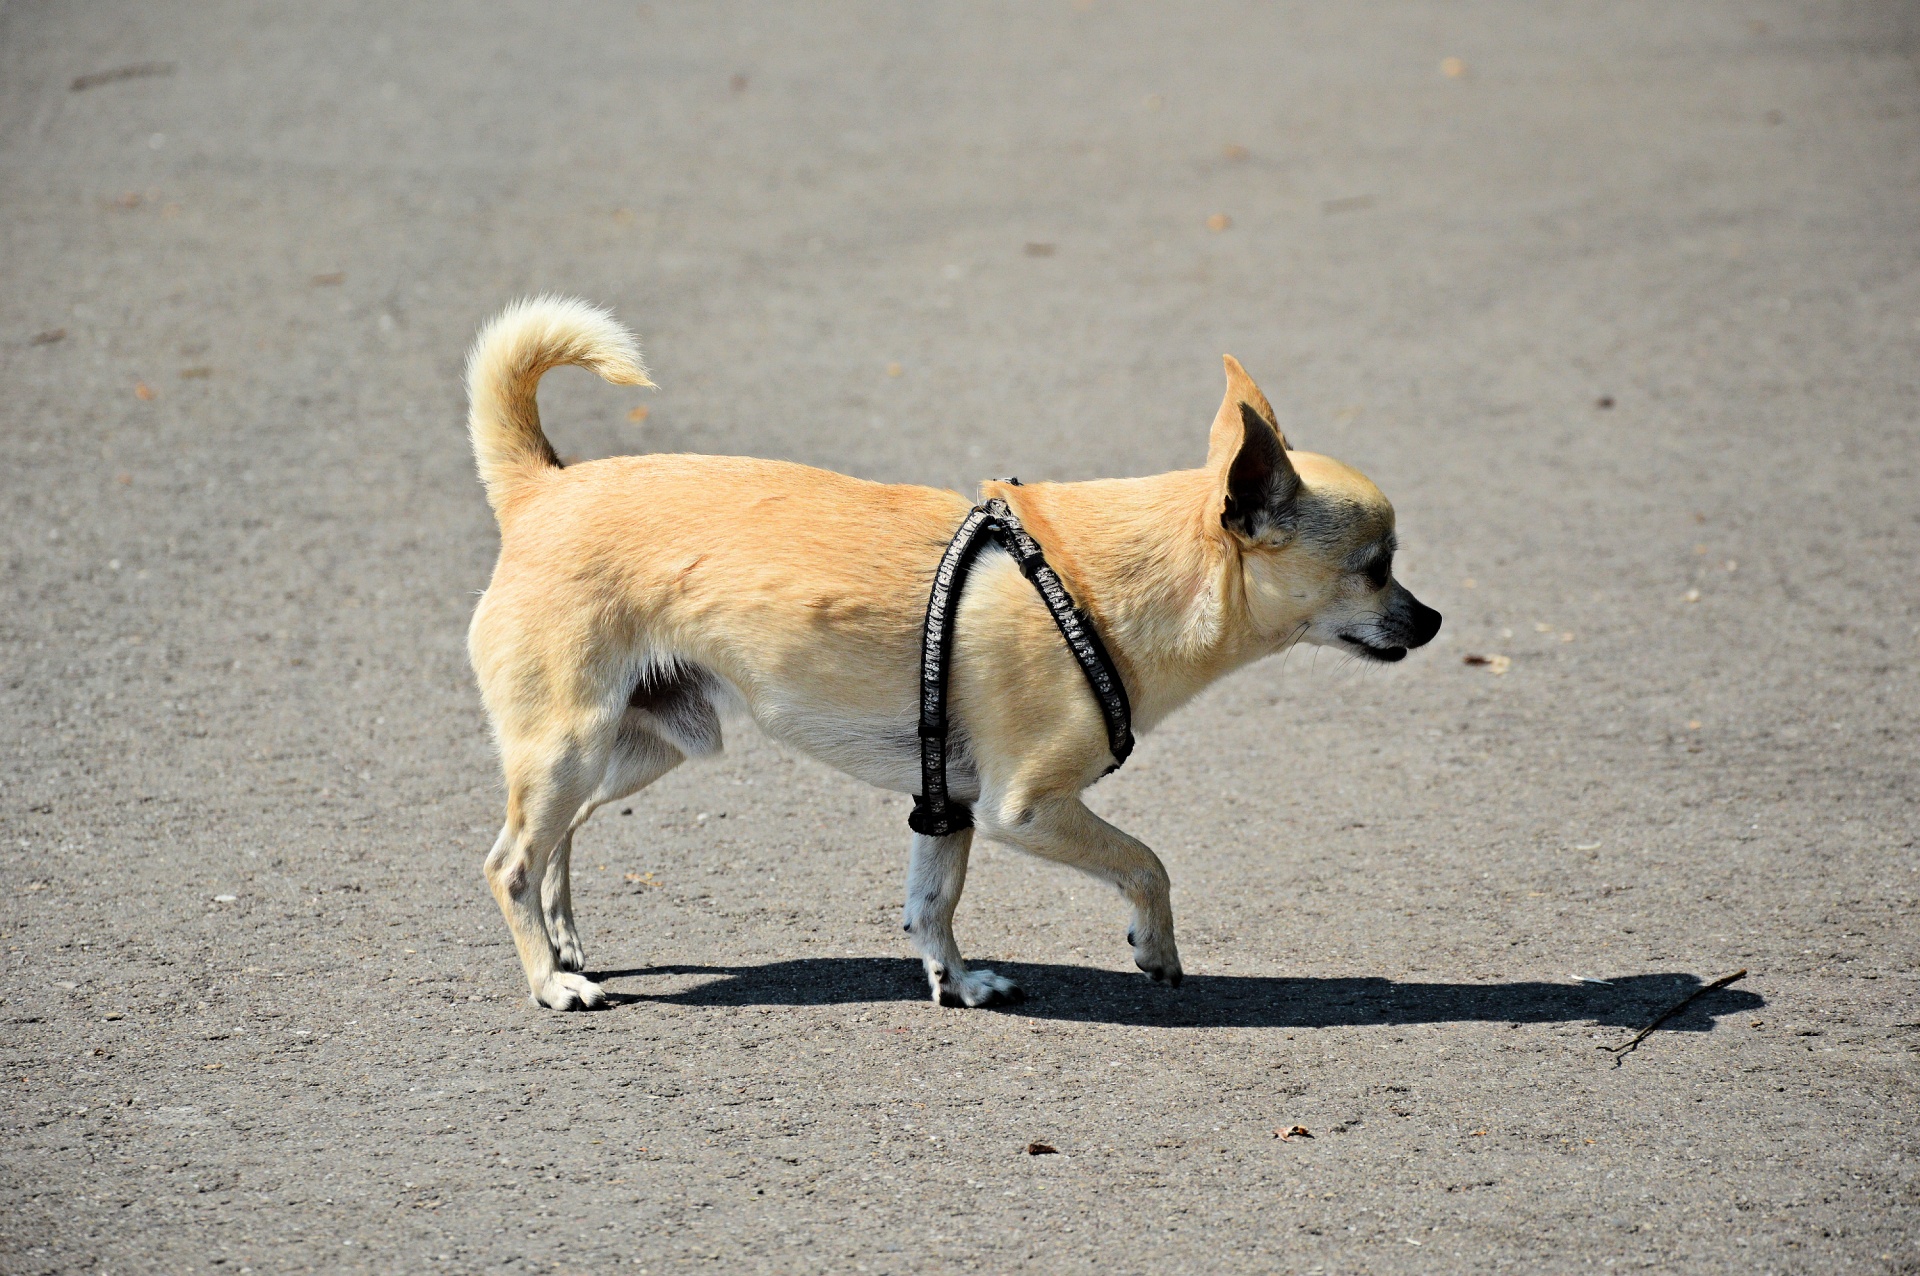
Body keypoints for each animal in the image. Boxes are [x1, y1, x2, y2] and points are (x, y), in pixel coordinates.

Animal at [464, 293, 1443, 1013]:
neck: (1105, 579)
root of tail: (542, 488)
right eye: (1376, 569)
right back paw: (551, 981)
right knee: (508, 862)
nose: (1432, 621)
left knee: (558, 841)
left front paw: (958, 981)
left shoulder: (949, 810)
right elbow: (1147, 863)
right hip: (571, 746)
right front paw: (1155, 950)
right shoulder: (1027, 809)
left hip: (640, 747)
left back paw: (568, 941)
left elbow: (929, 907)